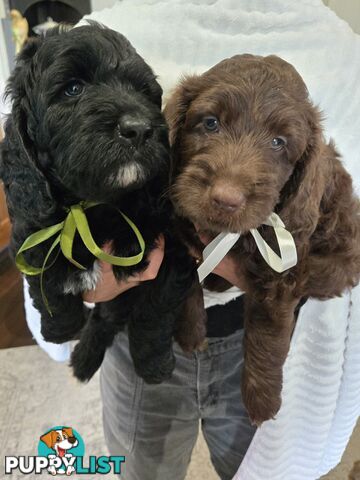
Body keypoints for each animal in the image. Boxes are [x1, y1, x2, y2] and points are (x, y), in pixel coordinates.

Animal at [0, 23, 204, 382]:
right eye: (73, 89)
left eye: (144, 92)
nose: (138, 129)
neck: (92, 207)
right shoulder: (30, 237)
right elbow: (47, 288)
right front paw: (60, 329)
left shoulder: (172, 254)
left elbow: (152, 313)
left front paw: (153, 365)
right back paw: (83, 357)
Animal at [165, 54, 360, 426]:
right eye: (210, 123)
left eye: (278, 143)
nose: (226, 198)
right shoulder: (178, 222)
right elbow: (186, 271)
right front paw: (191, 333)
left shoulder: (282, 272)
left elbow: (266, 334)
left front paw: (262, 402)